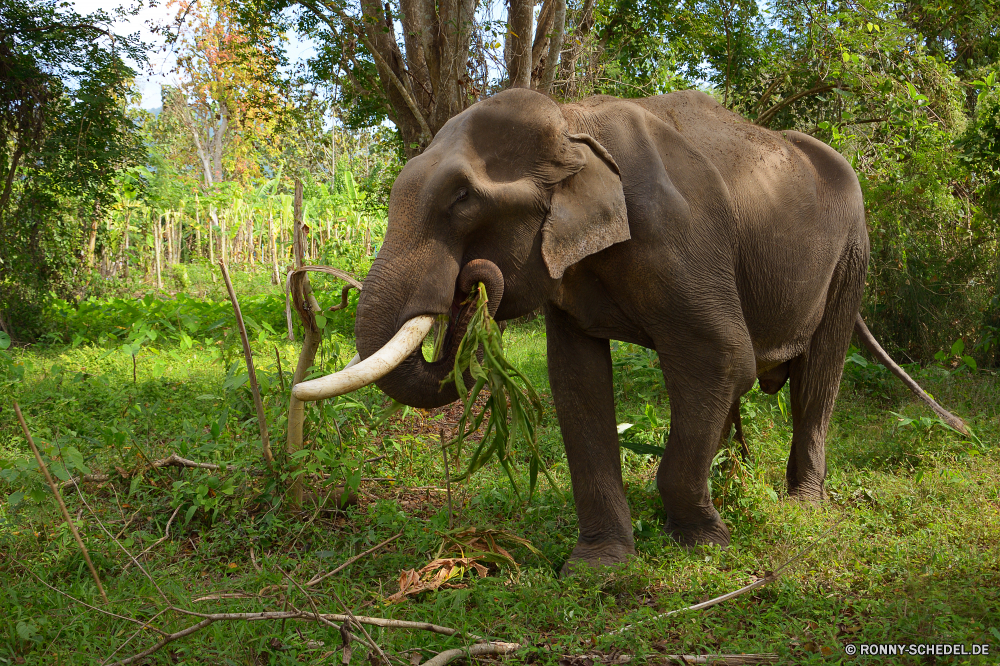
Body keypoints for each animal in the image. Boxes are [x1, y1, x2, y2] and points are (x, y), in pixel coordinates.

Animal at [296, 85, 968, 568]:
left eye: (462, 199)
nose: (473, 283)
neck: (572, 121)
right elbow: (577, 382)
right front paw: (599, 566)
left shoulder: (677, 237)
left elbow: (722, 354)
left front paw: (704, 545)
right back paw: (734, 474)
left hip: (852, 255)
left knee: (817, 379)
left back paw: (801, 503)